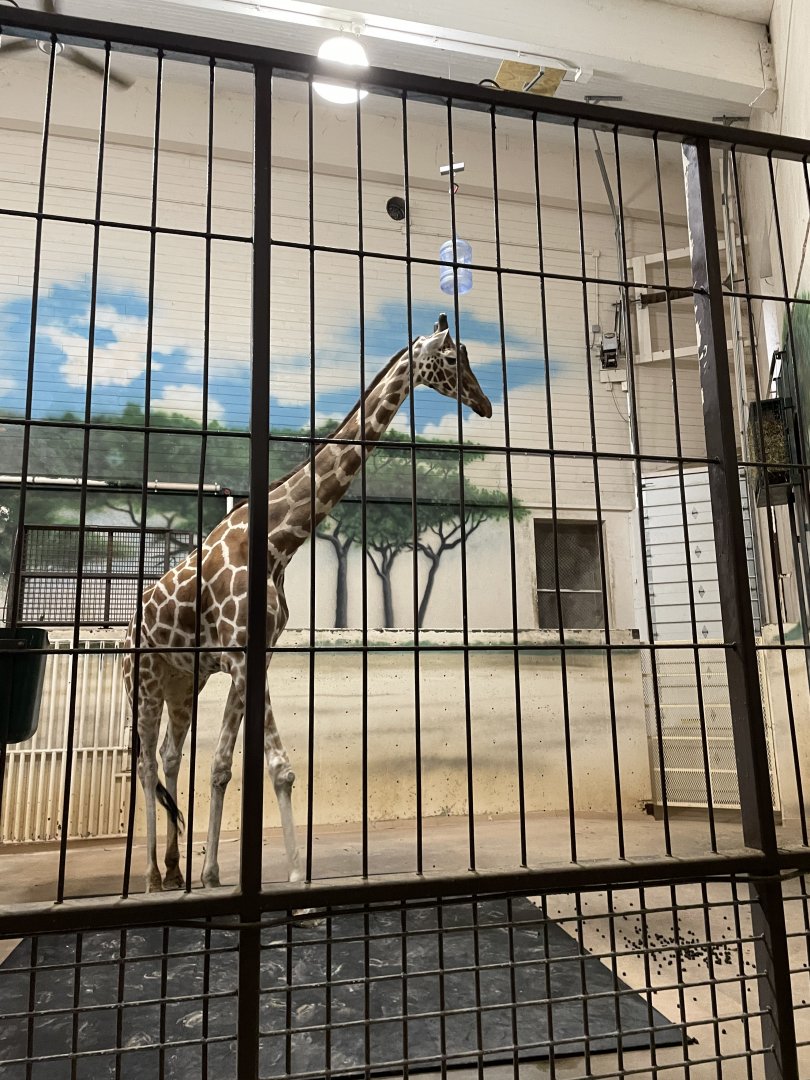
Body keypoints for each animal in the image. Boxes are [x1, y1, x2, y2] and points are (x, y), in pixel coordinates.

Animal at [123, 315, 492, 892]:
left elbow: (223, 765)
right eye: (453, 359)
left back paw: (175, 868)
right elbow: (279, 767)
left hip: (183, 685)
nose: (484, 404)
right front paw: (297, 876)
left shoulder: (250, 659)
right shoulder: (242, 655)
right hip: (141, 683)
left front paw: (213, 872)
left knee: (169, 757)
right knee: (141, 764)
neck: (277, 542)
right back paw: (150, 877)